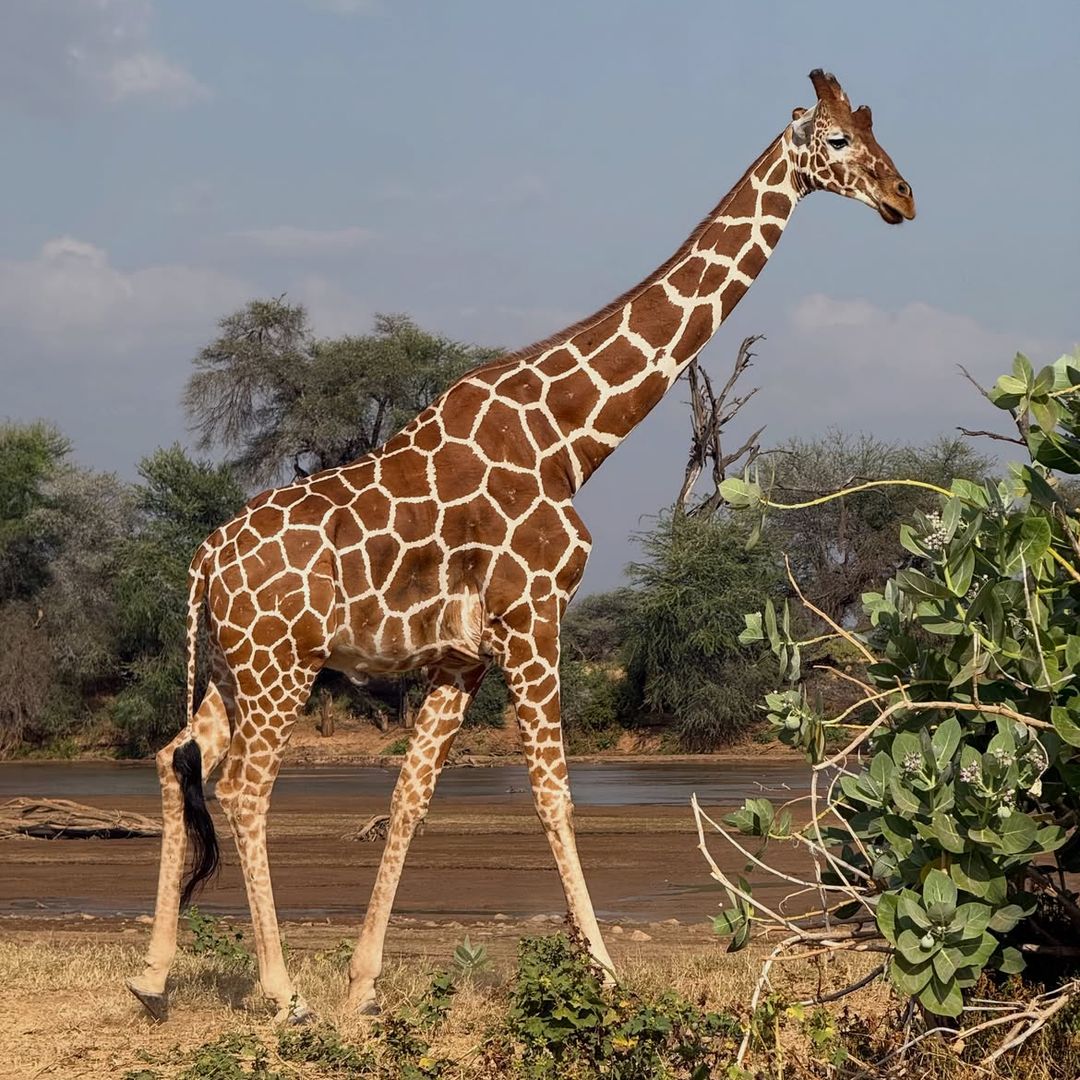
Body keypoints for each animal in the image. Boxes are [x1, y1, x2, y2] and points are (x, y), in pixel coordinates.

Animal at [128, 70, 914, 1023]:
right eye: (838, 141)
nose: (903, 197)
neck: (570, 438)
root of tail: (204, 560)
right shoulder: (535, 616)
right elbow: (554, 795)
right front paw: (606, 970)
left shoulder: (460, 656)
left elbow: (412, 798)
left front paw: (363, 981)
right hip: (281, 664)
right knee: (243, 788)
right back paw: (280, 991)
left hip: (229, 667)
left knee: (176, 759)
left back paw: (153, 976)